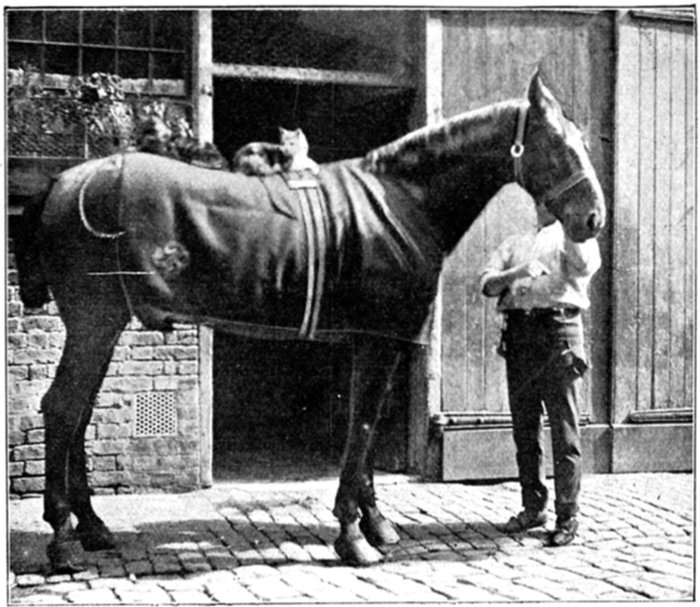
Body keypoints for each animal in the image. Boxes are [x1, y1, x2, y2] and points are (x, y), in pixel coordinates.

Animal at [16, 72, 605, 573]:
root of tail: (65, 181)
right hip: (94, 323)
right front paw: (353, 538)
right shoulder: (379, 340)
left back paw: (94, 528)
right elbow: (362, 427)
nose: (593, 218)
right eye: (556, 142)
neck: (403, 200)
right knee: (62, 410)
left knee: (79, 414)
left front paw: (376, 524)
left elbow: (365, 428)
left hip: (100, 327)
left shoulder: (371, 341)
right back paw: (63, 542)